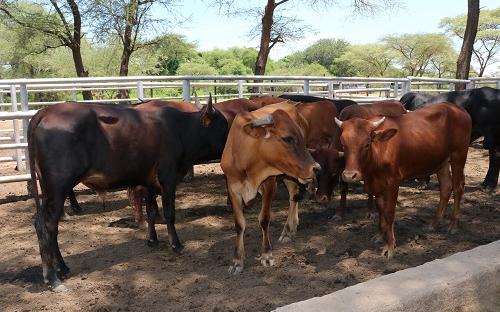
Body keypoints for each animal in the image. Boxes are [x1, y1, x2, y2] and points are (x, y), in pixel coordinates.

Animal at [28, 95, 228, 290]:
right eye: (223, 125)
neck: (180, 130)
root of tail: (45, 111)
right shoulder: (168, 178)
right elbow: (169, 214)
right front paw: (176, 244)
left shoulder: (148, 182)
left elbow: (151, 211)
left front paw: (152, 240)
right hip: (58, 187)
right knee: (47, 226)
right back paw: (53, 278)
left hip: (48, 190)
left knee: (46, 225)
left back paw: (61, 268)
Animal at [221, 108, 318, 274]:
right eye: (287, 138)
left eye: (301, 137)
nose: (317, 168)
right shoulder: (232, 188)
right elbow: (239, 224)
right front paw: (237, 260)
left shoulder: (269, 184)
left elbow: (264, 219)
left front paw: (266, 255)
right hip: (290, 174)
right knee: (293, 196)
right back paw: (292, 227)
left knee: (294, 197)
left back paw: (287, 231)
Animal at [336, 104, 472, 258]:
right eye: (343, 144)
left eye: (366, 144)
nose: (349, 175)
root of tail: (457, 108)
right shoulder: (377, 184)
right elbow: (381, 209)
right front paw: (379, 235)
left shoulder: (394, 181)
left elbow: (389, 212)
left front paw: (390, 246)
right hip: (441, 162)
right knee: (446, 187)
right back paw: (434, 224)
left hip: (458, 156)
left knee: (458, 188)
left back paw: (453, 225)